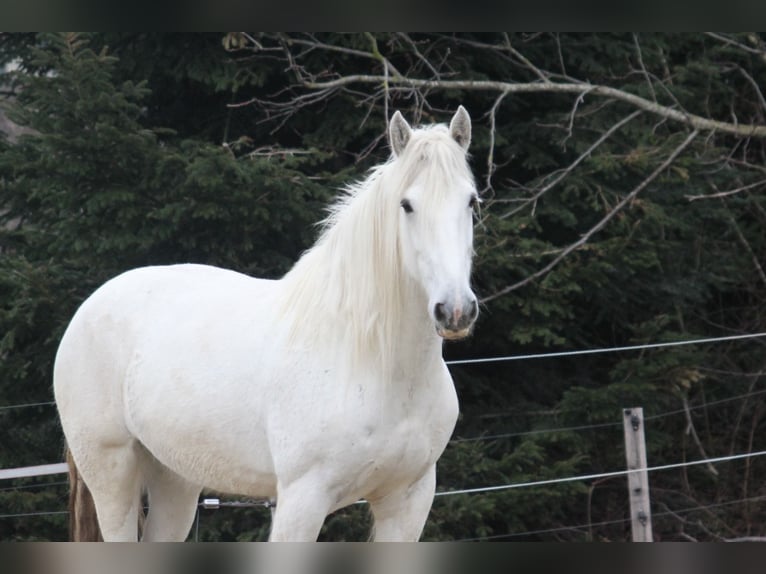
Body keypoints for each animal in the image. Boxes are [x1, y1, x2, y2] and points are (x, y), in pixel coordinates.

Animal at [53, 106, 479, 542]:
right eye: (406, 205)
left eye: (471, 201)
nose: (455, 310)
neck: (373, 360)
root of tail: (90, 306)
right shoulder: (302, 499)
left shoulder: (408, 500)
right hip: (112, 472)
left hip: (175, 478)